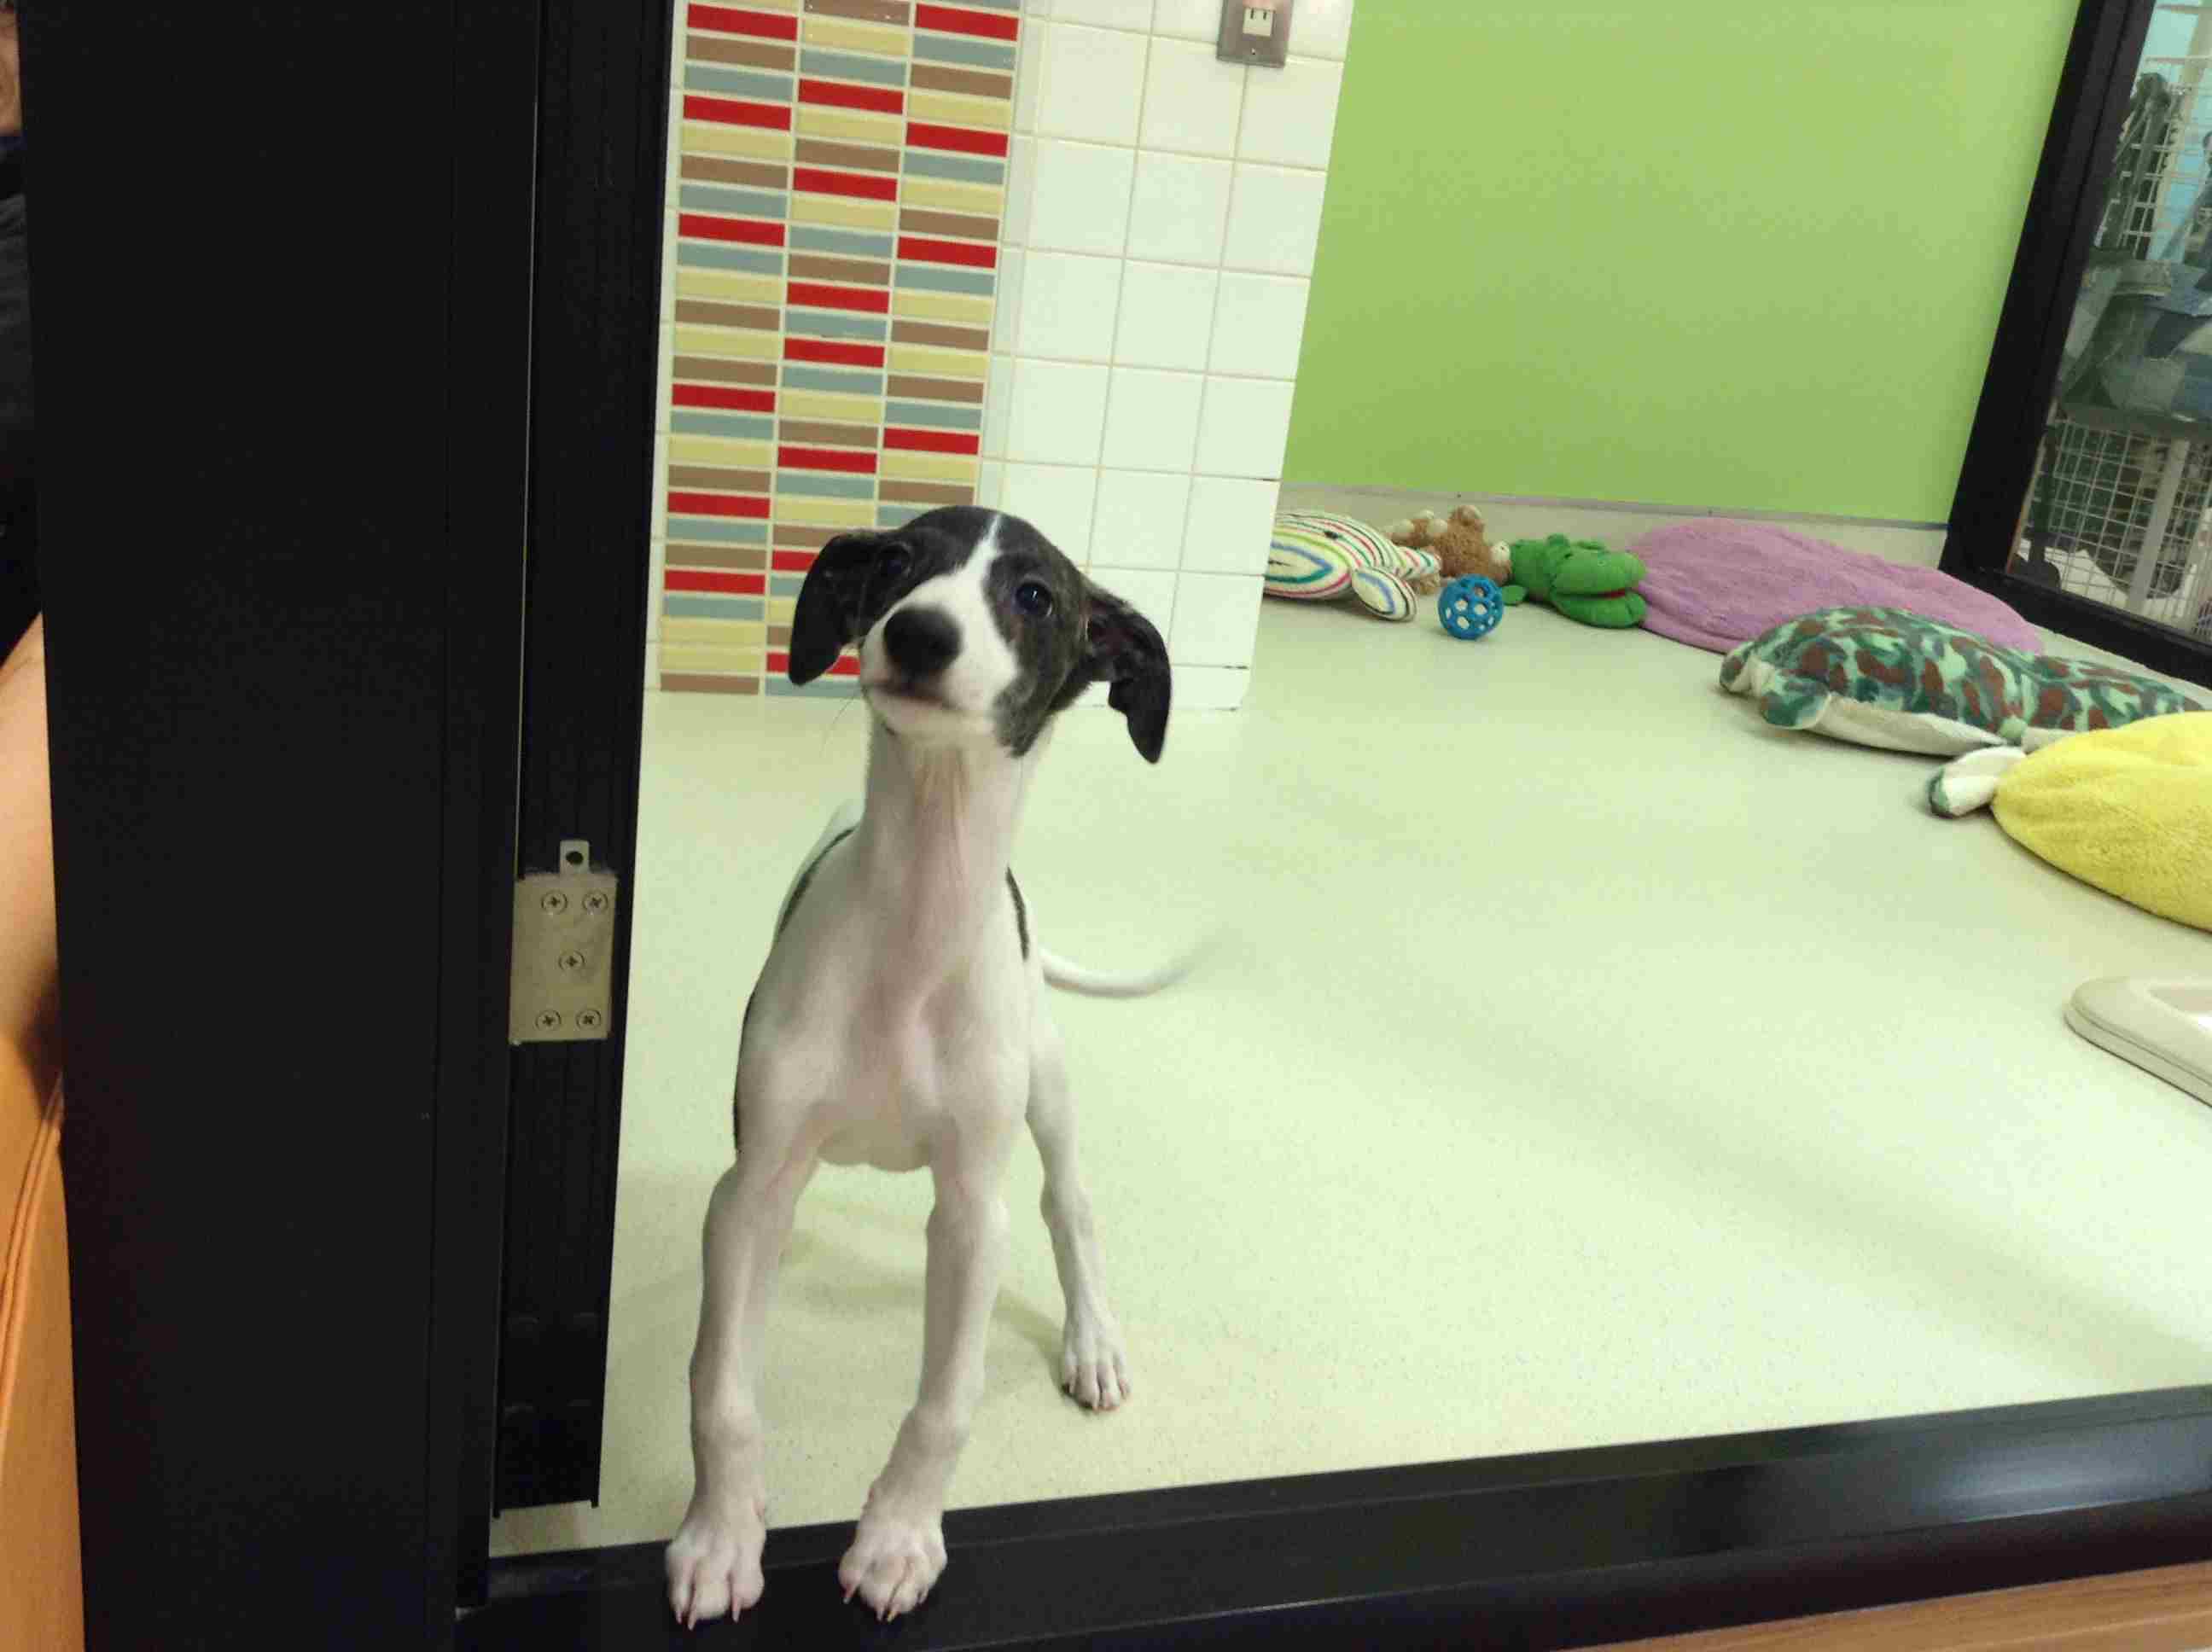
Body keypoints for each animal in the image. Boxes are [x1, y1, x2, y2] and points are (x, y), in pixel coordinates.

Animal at [665, 506, 1180, 1627]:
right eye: (898, 562)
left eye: (1033, 595)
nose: (919, 634)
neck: (913, 925)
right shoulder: (748, 1187)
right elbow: (721, 1386)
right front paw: (722, 1534)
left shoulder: (971, 1212)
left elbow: (946, 1403)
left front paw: (898, 1539)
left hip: (1045, 1083)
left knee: (1070, 1205)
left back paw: (1092, 1341)